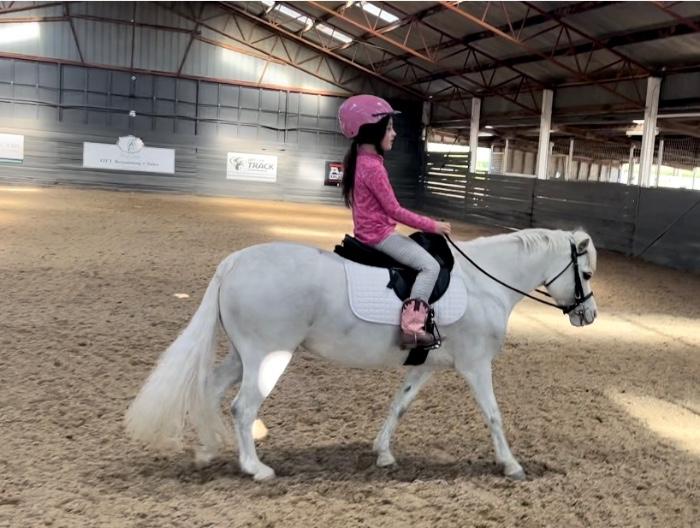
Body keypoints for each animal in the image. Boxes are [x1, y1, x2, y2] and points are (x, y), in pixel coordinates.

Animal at [125, 228, 597, 481]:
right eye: (587, 273)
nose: (588, 315)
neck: (486, 284)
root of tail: (235, 262)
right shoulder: (476, 366)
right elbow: (494, 415)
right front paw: (511, 465)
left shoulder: (427, 366)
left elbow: (399, 405)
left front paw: (383, 453)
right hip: (267, 356)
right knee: (243, 407)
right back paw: (255, 468)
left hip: (244, 356)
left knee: (209, 389)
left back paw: (207, 449)